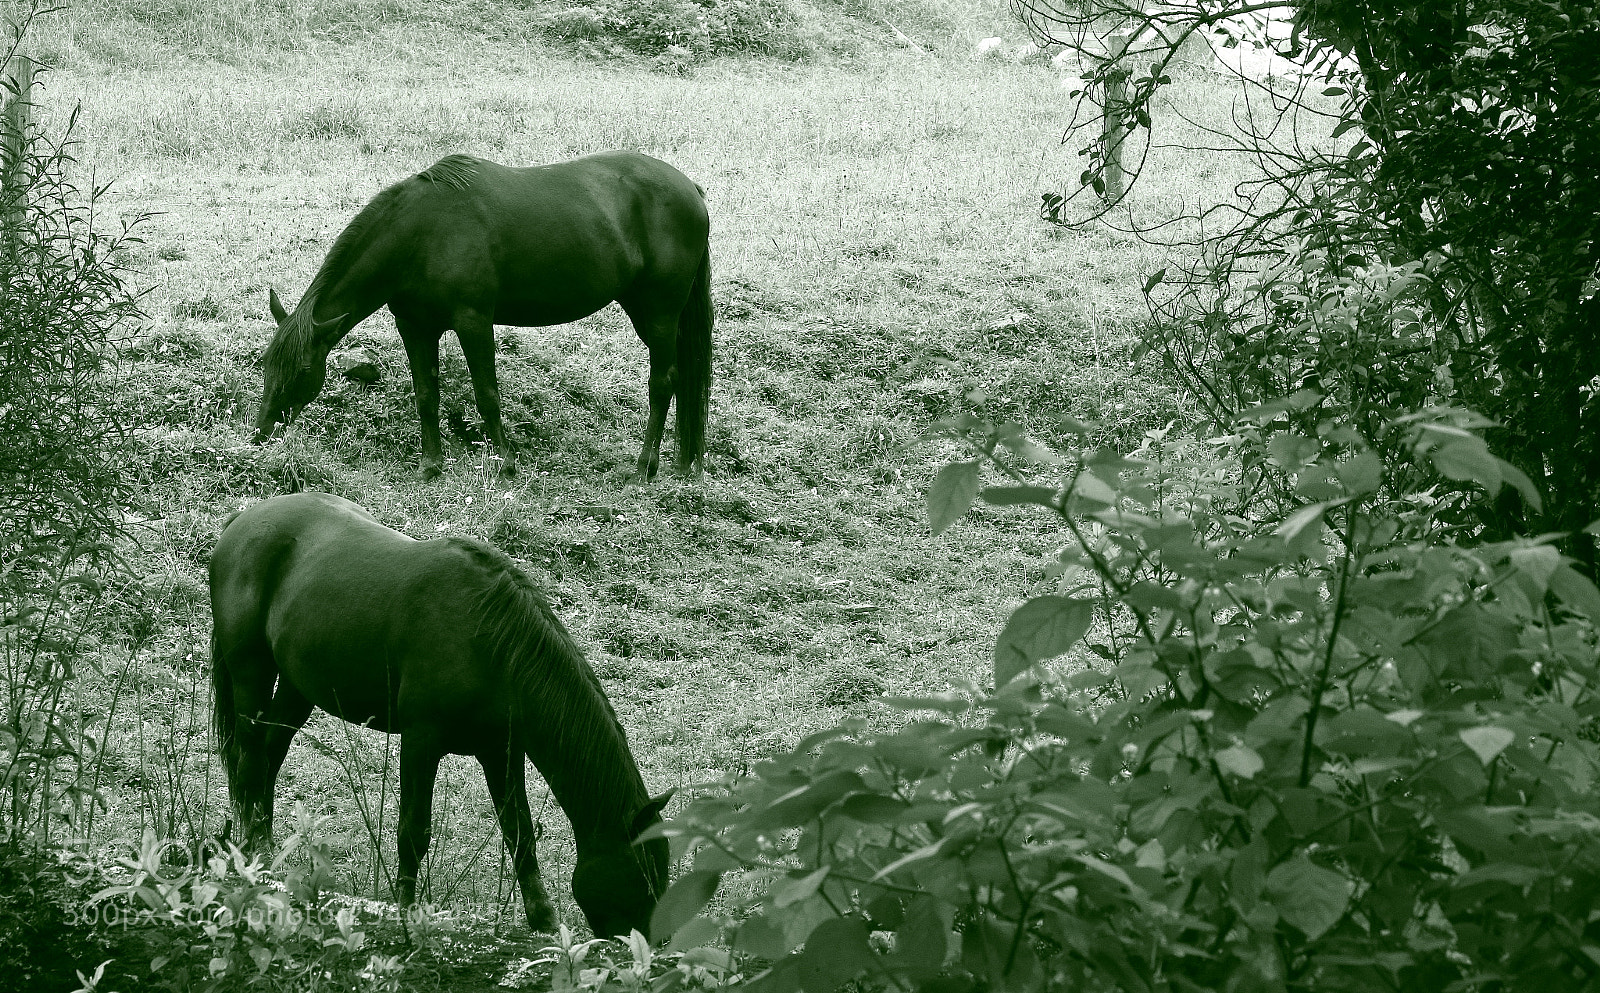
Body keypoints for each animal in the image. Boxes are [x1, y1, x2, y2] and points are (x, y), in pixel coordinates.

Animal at [208, 491, 672, 937]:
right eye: (644, 875)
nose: (654, 945)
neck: (491, 642)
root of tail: (241, 521)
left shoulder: (500, 752)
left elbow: (519, 831)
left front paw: (543, 918)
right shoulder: (421, 741)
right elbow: (414, 831)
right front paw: (404, 909)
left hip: (297, 686)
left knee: (270, 755)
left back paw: (267, 852)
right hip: (251, 673)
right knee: (250, 762)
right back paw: (251, 852)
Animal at [252, 151, 714, 483]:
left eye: (304, 369)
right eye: (266, 364)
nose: (262, 432)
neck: (421, 234)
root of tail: (690, 189)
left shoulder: (473, 321)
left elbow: (486, 394)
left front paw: (506, 463)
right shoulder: (415, 327)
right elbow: (426, 395)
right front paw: (431, 465)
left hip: (659, 313)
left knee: (662, 384)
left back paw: (643, 469)